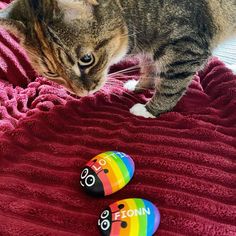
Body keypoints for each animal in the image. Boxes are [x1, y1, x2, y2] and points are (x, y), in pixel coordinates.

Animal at [0, 0, 235, 118]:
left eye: (86, 59)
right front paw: (140, 86)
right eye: (51, 73)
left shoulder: (186, 48)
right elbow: (149, 67)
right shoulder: (152, 49)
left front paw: (150, 110)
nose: (82, 93)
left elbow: (170, 84)